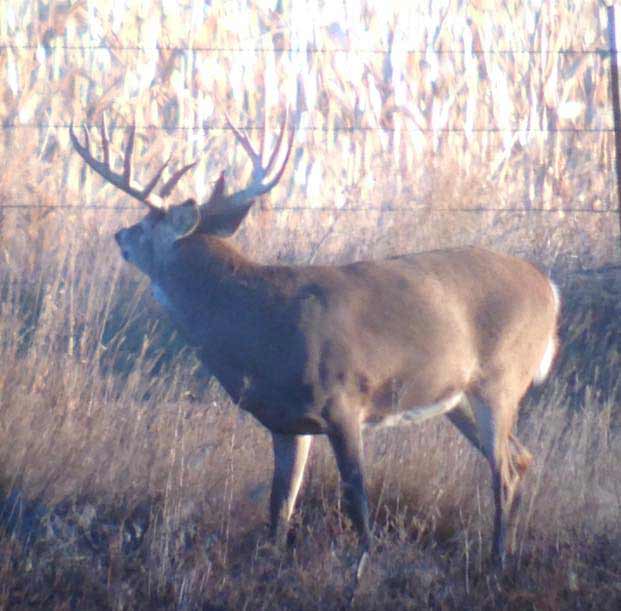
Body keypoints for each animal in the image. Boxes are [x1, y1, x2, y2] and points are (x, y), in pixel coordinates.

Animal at [70, 111, 560, 572]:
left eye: (146, 225)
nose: (119, 234)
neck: (257, 325)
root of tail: (549, 288)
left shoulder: (344, 401)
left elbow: (356, 496)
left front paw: (362, 568)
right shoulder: (287, 422)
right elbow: (280, 502)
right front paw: (271, 561)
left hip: (499, 380)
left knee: (504, 471)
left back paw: (496, 561)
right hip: (457, 397)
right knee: (520, 458)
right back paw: (507, 551)